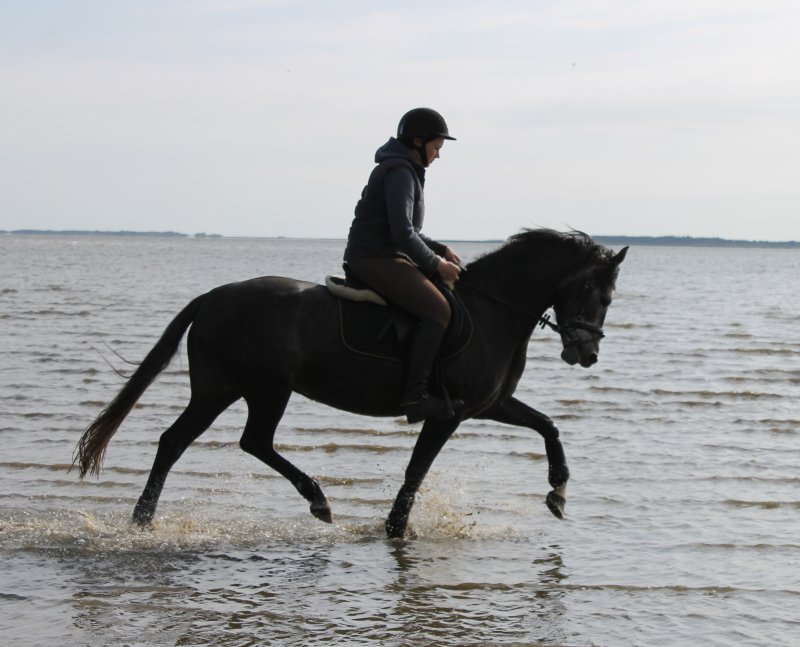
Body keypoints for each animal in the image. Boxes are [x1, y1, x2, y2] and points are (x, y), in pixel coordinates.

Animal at [73, 229, 627, 538]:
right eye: (595, 292)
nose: (588, 354)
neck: (494, 310)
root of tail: (212, 297)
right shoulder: (448, 412)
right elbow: (417, 469)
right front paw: (396, 528)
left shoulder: (489, 404)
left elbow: (548, 425)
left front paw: (558, 492)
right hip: (259, 388)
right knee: (243, 441)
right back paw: (317, 500)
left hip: (227, 388)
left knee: (182, 441)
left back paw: (143, 521)